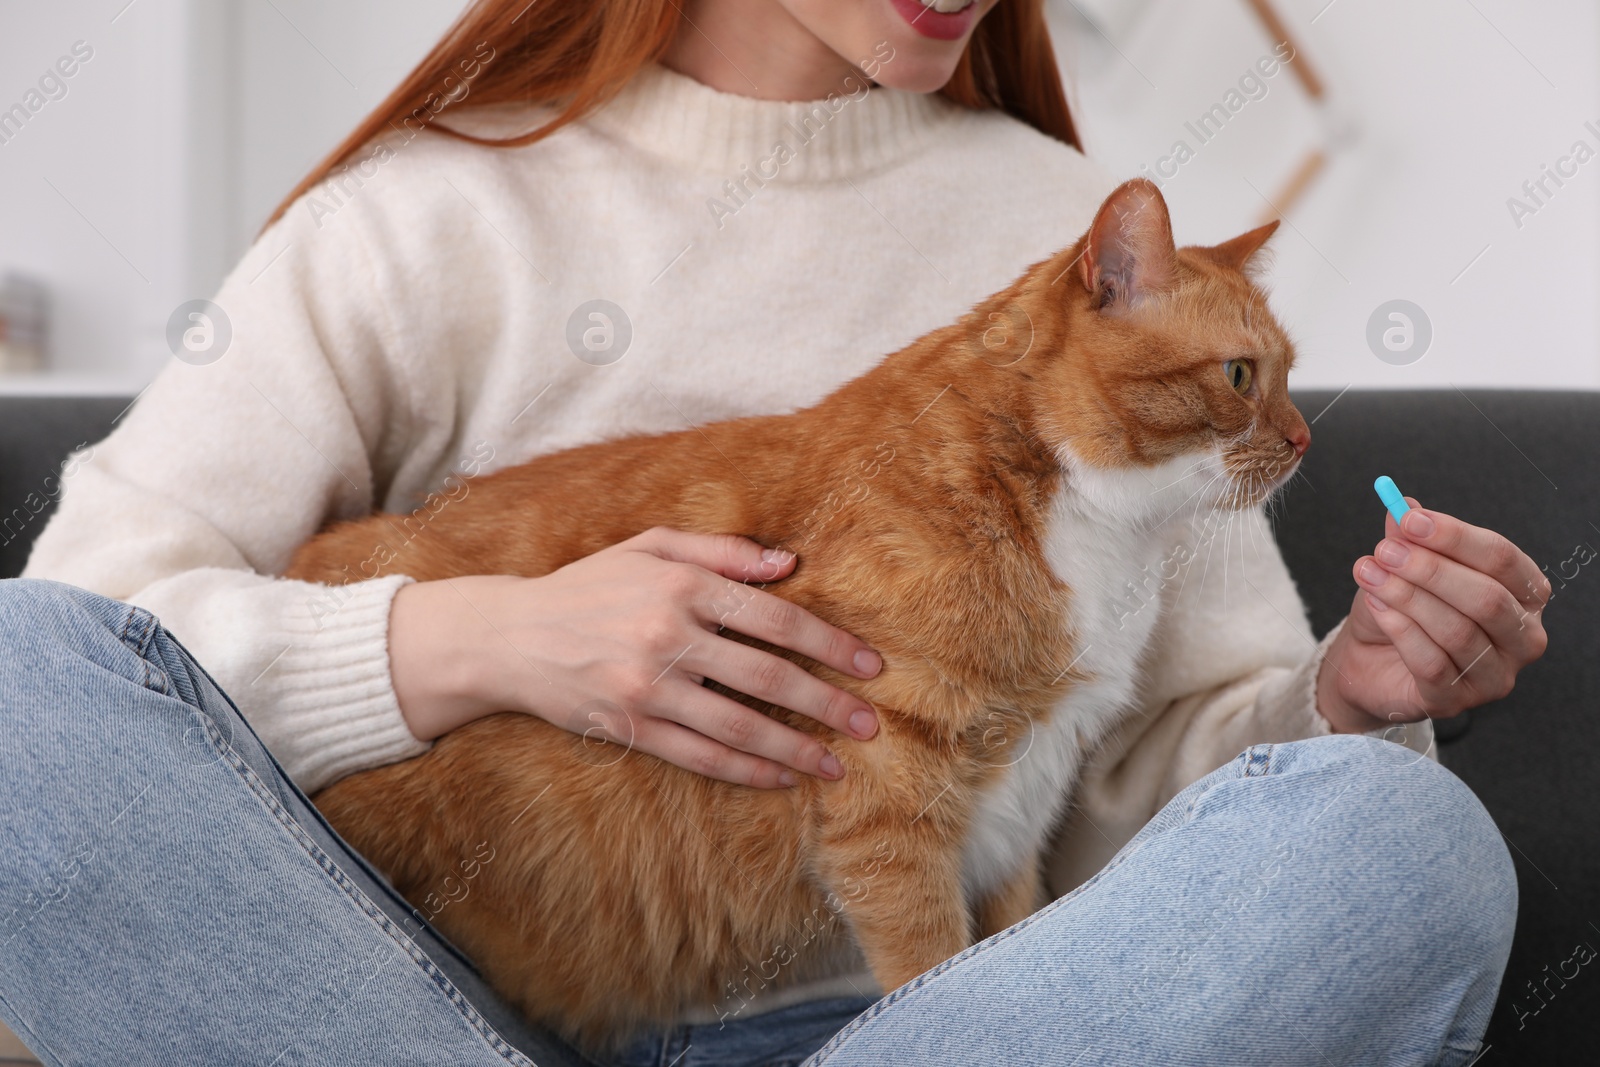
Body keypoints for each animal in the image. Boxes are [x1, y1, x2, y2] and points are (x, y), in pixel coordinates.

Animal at [291, 179, 1312, 1049]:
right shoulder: (886, 805)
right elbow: (929, 969)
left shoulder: (1020, 807)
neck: (1078, 517)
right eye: (1239, 376)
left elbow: (1000, 945)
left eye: (1291, 374)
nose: (1306, 437)